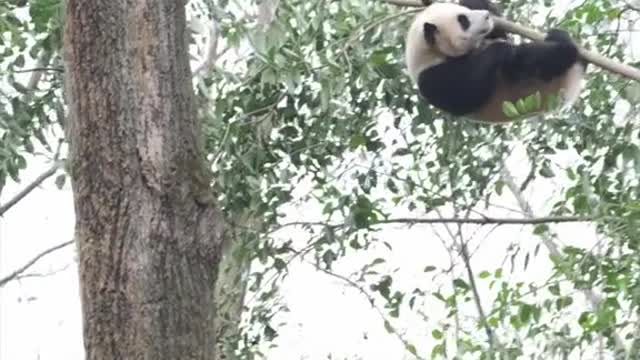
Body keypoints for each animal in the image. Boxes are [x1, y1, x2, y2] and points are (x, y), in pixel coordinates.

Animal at [408, 0, 588, 123]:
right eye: (463, 20)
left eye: (465, 12)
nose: (487, 16)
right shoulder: (432, 78)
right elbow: (467, 94)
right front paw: (500, 48)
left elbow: (501, 34)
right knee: (526, 61)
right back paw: (565, 48)